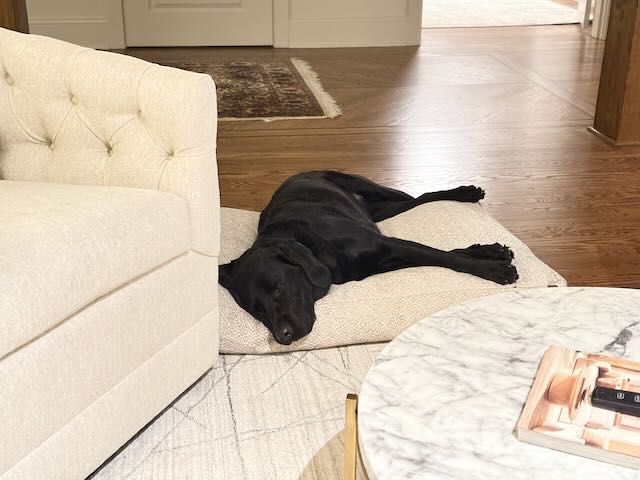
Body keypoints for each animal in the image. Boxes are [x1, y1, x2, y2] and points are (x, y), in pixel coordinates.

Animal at [218, 172, 516, 344]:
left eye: (278, 287)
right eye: (257, 310)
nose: (283, 337)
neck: (313, 246)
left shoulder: (387, 245)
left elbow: (447, 257)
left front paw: (495, 270)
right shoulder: (385, 258)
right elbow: (445, 254)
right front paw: (492, 252)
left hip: (366, 186)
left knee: (418, 195)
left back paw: (465, 192)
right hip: (378, 211)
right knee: (414, 200)